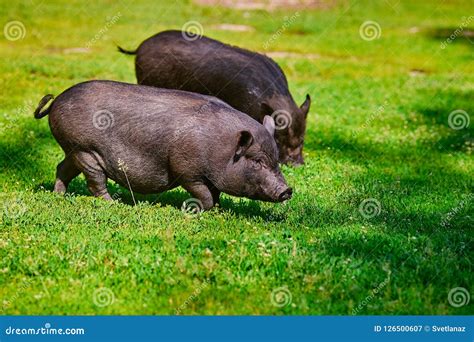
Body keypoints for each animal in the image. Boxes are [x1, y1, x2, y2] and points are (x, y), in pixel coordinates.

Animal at [33, 81, 290, 208]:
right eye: (257, 161)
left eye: (276, 160)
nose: (288, 190)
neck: (222, 148)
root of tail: (57, 100)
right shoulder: (187, 171)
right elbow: (204, 194)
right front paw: (199, 209)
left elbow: (215, 192)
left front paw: (218, 209)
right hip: (85, 149)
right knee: (95, 181)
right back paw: (115, 204)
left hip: (75, 150)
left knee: (62, 168)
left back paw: (59, 195)